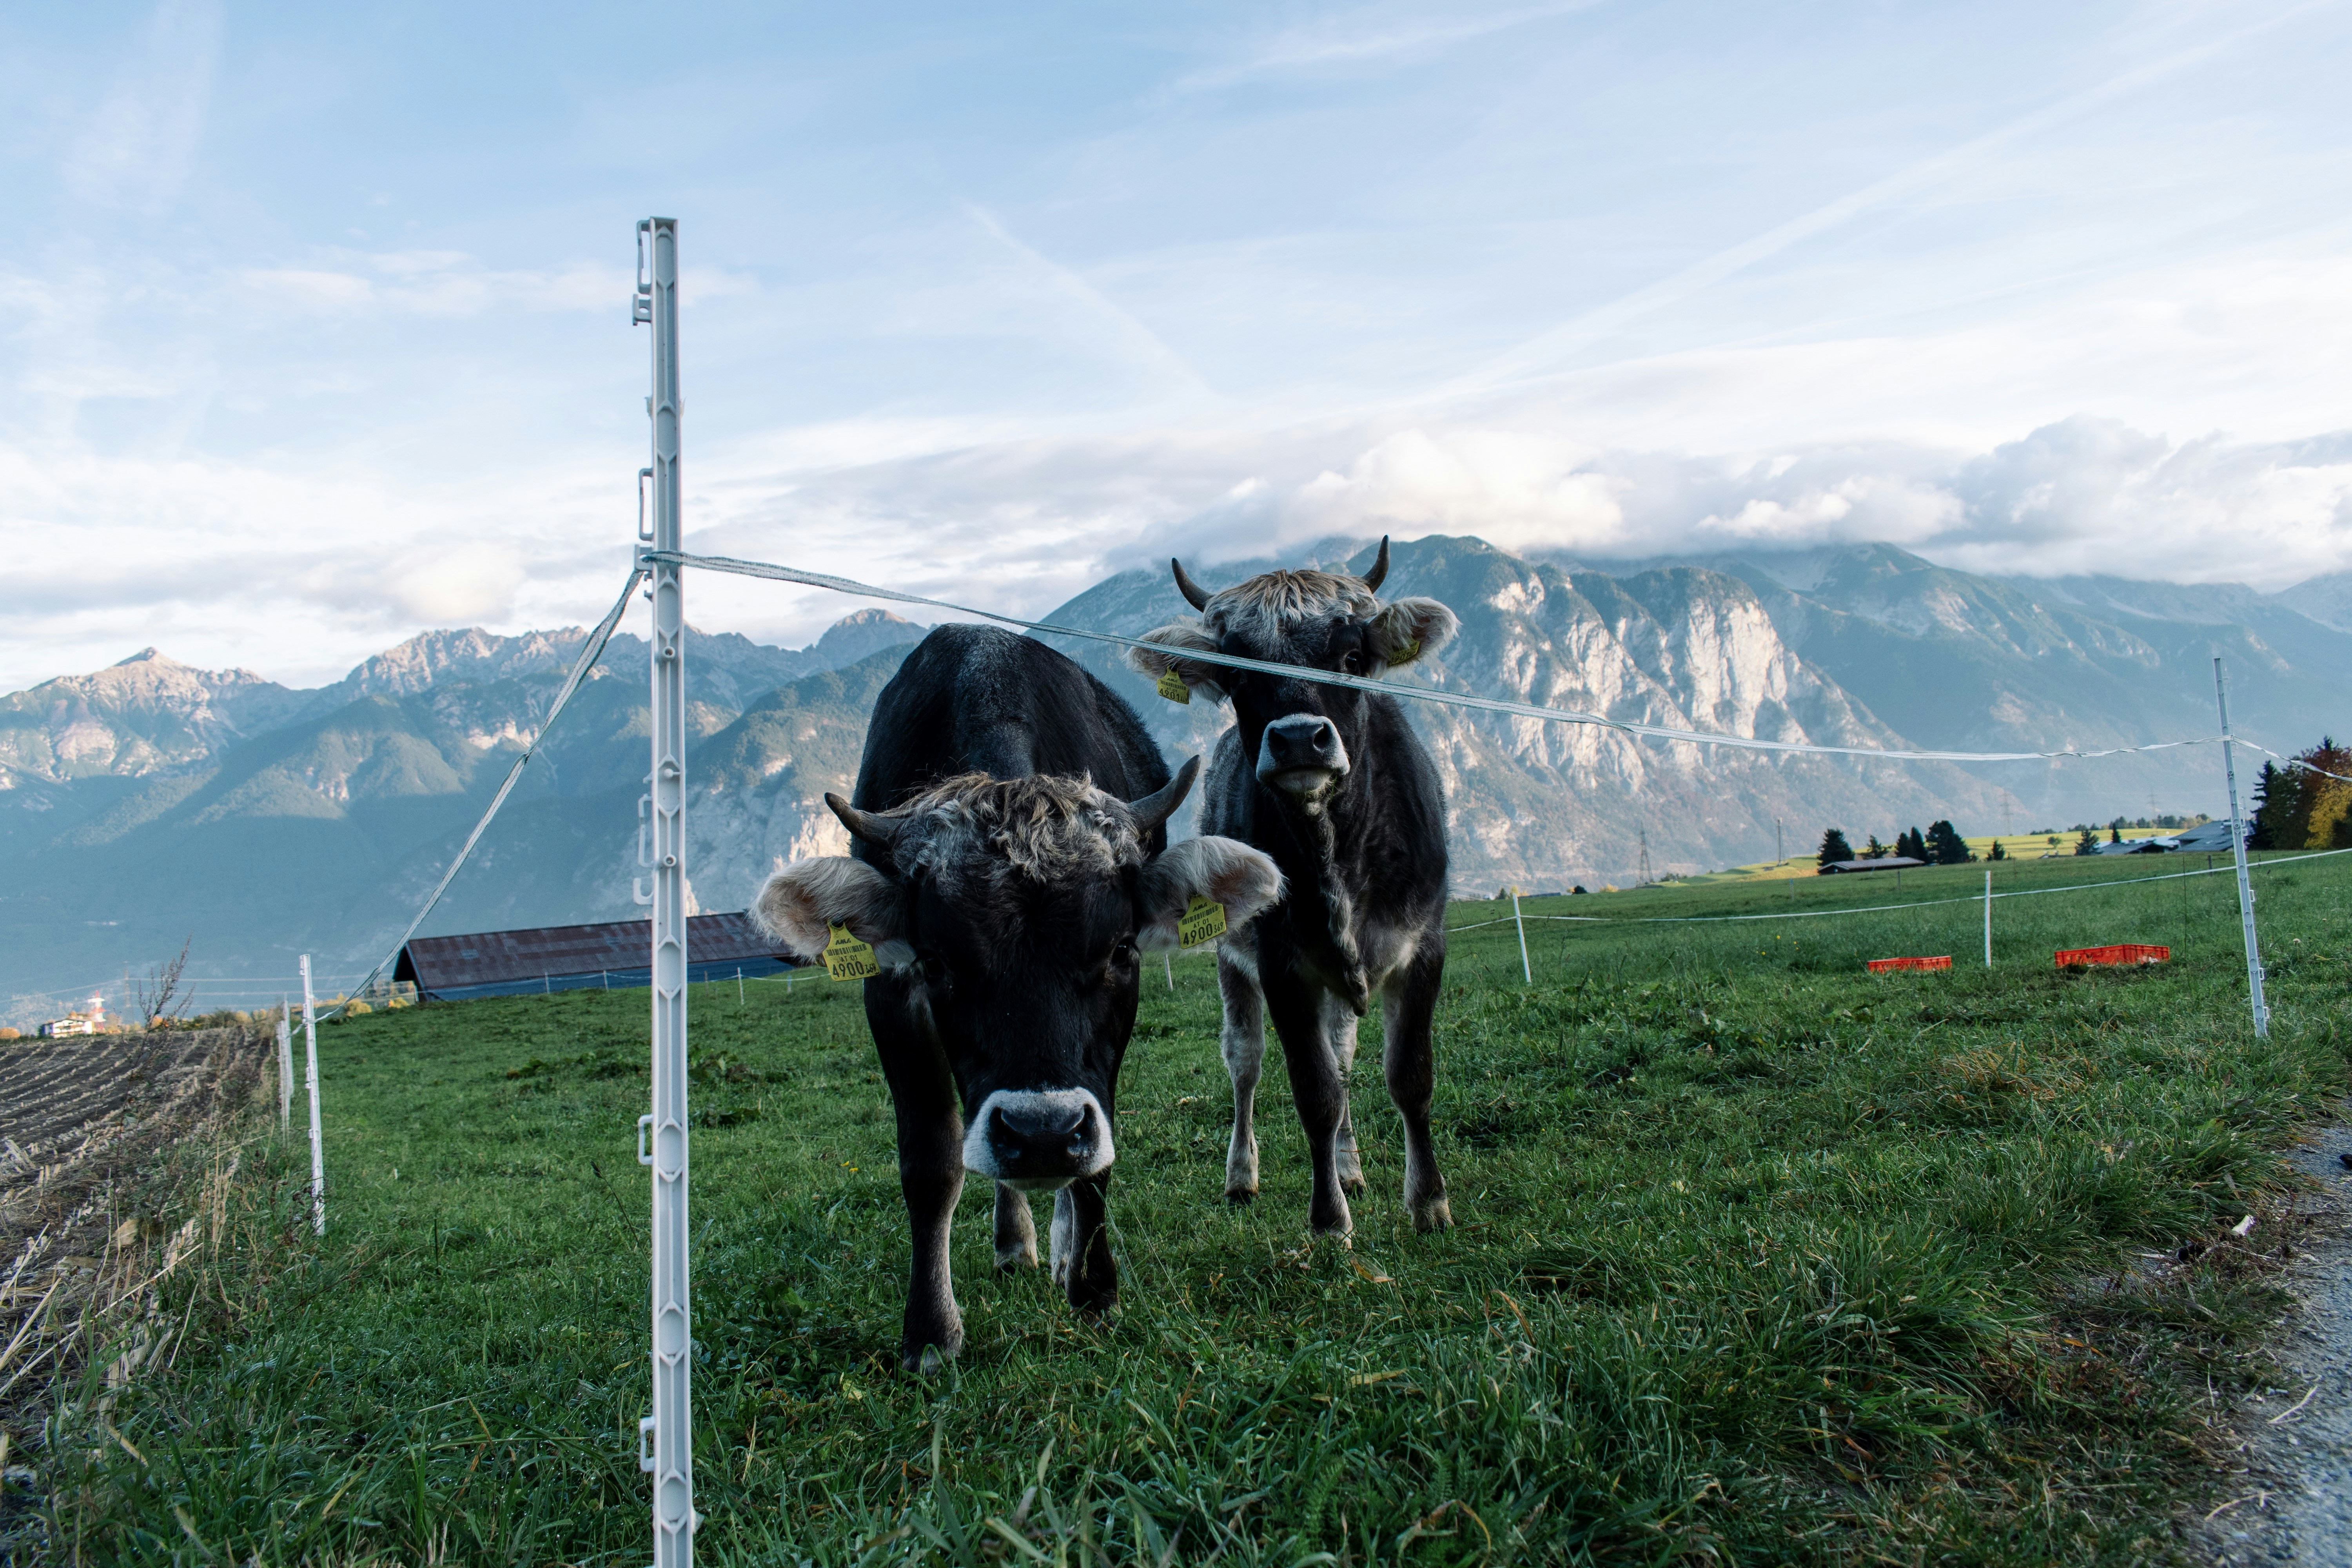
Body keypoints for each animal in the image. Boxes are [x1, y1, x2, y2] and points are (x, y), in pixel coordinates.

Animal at [752, 624, 1282, 1372]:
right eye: (937, 962)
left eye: (1121, 949)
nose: (1041, 1136)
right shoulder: (890, 993)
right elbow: (931, 1161)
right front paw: (931, 1334)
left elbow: (1097, 1163)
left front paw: (1095, 1289)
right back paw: (1015, 1243)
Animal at [1125, 539, 1459, 1241]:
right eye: (1237, 676)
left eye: (1353, 659)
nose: (1300, 738)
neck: (1335, 852)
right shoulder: (1282, 964)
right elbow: (1314, 1089)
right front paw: (1329, 1220)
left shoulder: (1424, 945)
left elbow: (1408, 1076)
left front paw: (1429, 1201)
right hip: (1232, 960)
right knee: (1246, 1062)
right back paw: (1243, 1175)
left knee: (1344, 1052)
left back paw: (1352, 1165)